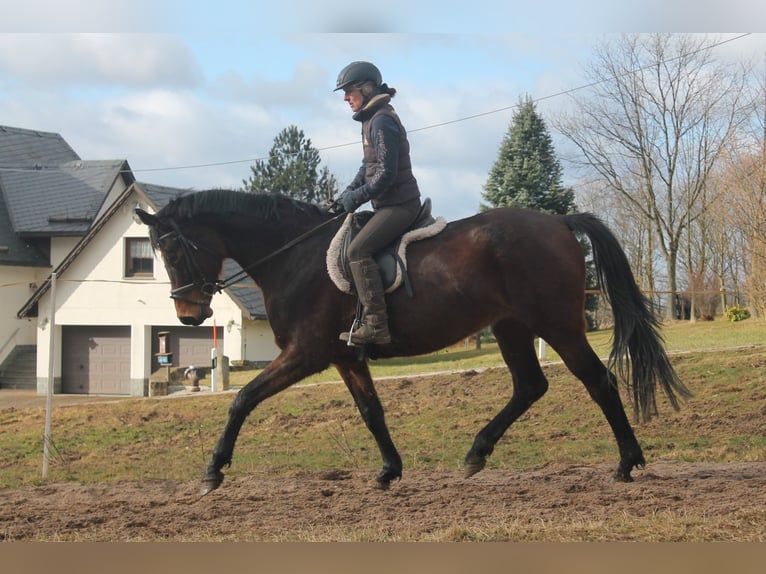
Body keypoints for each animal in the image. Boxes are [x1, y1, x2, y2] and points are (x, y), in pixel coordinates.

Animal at [135, 191, 692, 498]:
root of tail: (558, 221)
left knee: (598, 381)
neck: (295, 256)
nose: (188, 315)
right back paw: (476, 453)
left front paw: (213, 471)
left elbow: (243, 400)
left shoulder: (306, 353)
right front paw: (389, 471)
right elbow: (371, 412)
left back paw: (626, 463)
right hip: (512, 327)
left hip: (556, 325)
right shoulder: (344, 356)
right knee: (530, 386)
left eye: (173, 251)